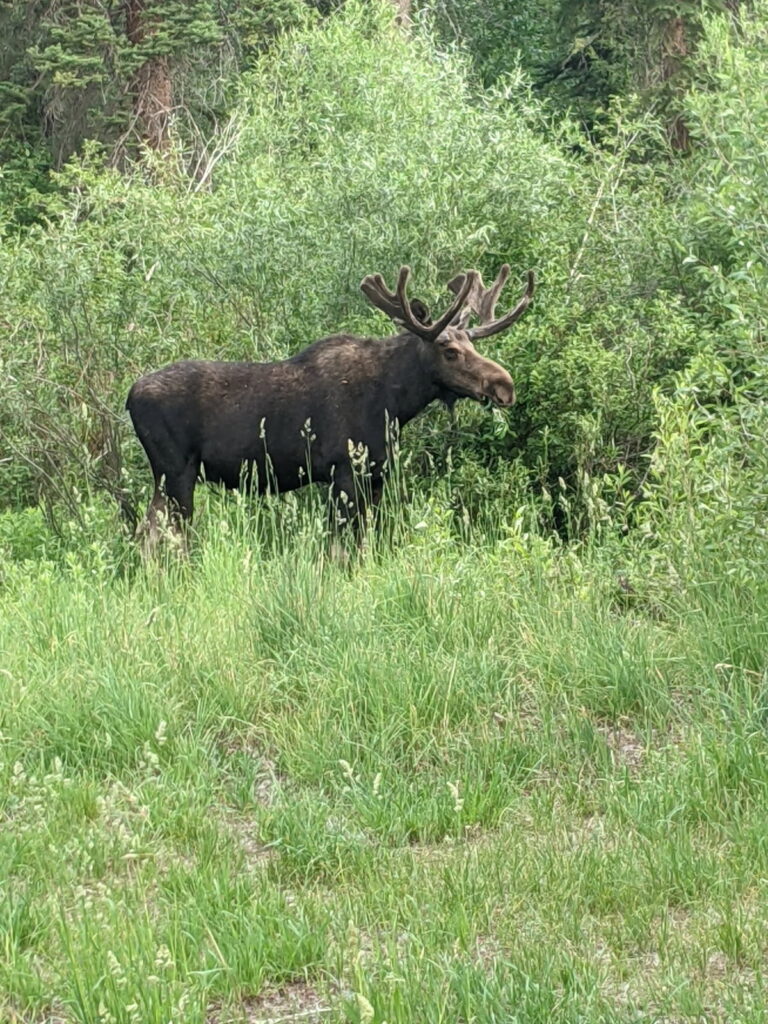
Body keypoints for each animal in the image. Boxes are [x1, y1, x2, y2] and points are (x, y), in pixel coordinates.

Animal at [126, 263, 534, 548]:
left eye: (473, 345)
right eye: (450, 351)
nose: (505, 387)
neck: (395, 402)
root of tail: (130, 397)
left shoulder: (375, 476)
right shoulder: (344, 471)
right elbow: (340, 548)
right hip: (175, 472)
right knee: (156, 536)